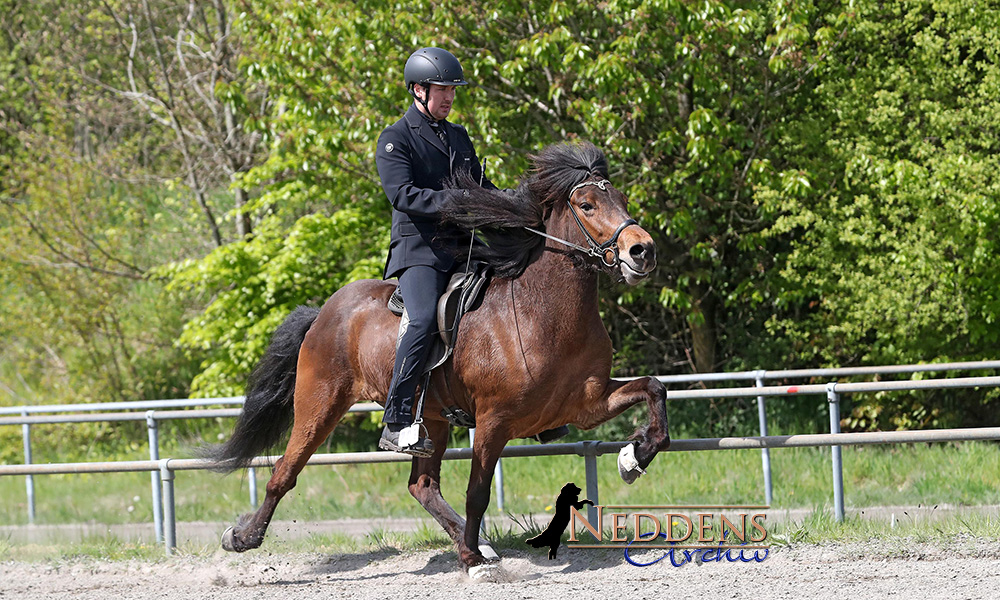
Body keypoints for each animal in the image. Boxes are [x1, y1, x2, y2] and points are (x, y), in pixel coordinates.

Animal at [203, 142, 668, 576]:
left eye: (622, 199)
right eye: (587, 205)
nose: (642, 251)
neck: (542, 313)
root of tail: (324, 313)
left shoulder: (585, 404)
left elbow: (654, 392)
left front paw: (633, 458)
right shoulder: (494, 421)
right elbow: (477, 492)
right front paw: (472, 563)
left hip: (432, 419)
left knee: (422, 486)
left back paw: (477, 545)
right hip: (319, 406)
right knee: (285, 472)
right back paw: (241, 537)